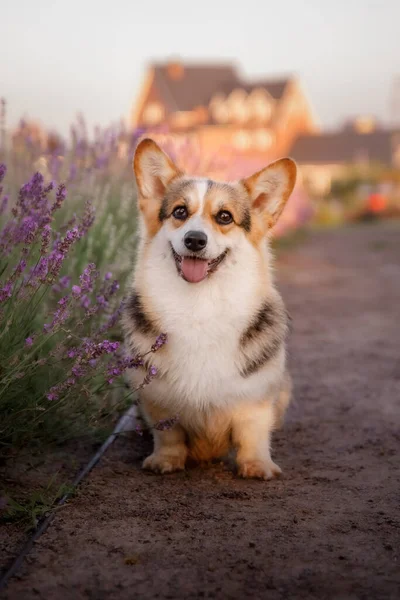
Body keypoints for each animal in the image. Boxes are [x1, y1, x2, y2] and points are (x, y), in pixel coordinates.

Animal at [123, 138, 296, 480]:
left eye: (225, 217)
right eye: (180, 211)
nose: (194, 240)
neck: (199, 304)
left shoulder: (256, 397)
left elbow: (253, 432)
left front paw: (257, 465)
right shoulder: (156, 399)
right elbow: (168, 433)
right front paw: (165, 461)